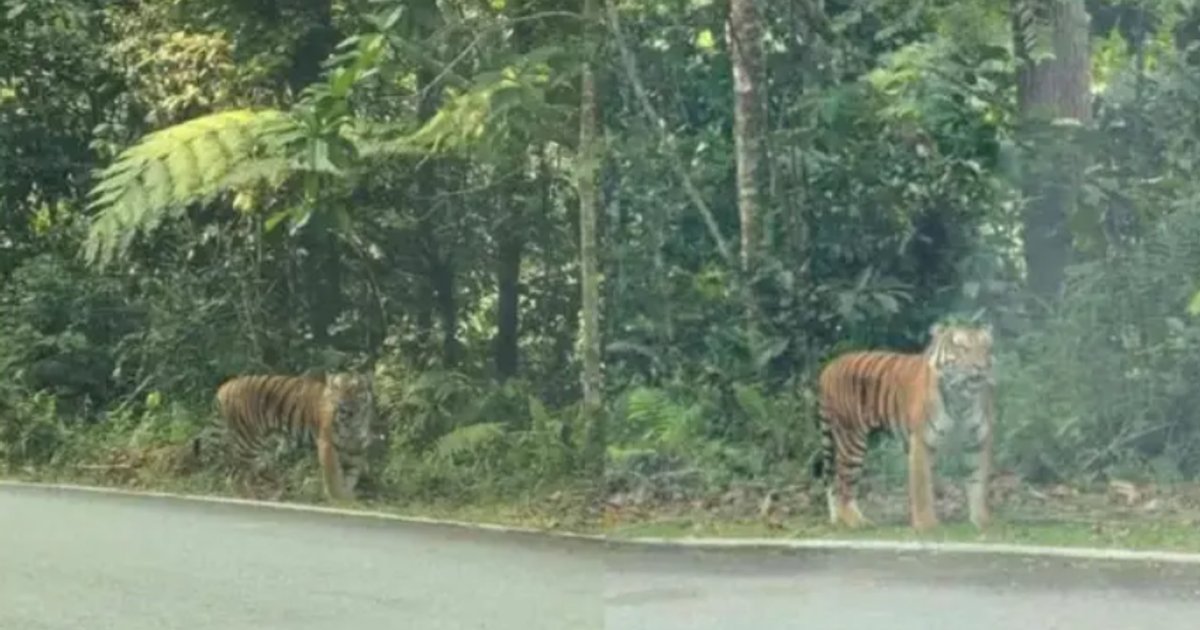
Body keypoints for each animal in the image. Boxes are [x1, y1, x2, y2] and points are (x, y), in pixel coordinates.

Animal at [215, 372, 376, 504]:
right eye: (336, 389)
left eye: (352, 390)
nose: (340, 403)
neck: (353, 421)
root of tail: (227, 386)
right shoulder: (327, 446)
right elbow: (334, 477)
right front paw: (339, 499)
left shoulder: (355, 451)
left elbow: (350, 477)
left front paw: (348, 499)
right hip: (248, 442)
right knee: (235, 476)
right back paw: (250, 498)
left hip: (261, 447)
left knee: (251, 472)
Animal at [813, 322, 994, 532]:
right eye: (962, 348)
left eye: (985, 349)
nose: (981, 367)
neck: (961, 400)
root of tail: (830, 367)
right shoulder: (922, 442)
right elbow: (922, 488)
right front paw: (926, 525)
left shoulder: (977, 442)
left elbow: (978, 483)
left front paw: (982, 521)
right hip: (851, 440)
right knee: (844, 485)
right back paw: (857, 522)